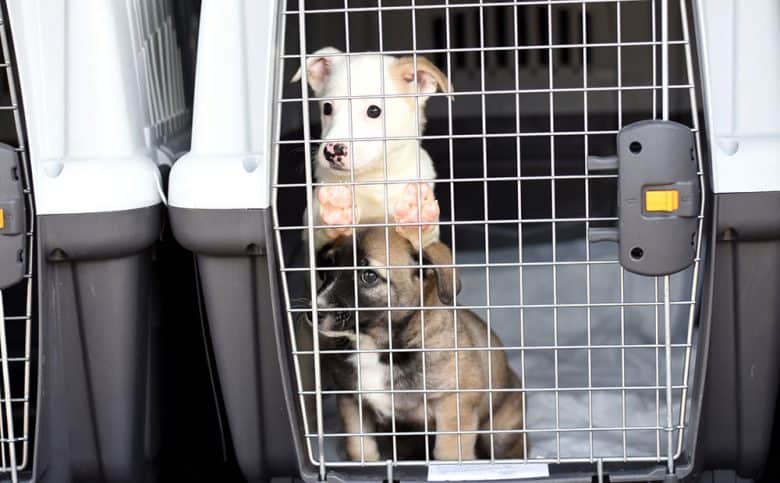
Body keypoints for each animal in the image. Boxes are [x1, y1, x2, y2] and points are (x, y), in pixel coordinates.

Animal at [290, 47, 450, 251]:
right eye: (327, 108)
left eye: (373, 111)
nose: (333, 151)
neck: (373, 180)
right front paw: (336, 212)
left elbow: (424, 238)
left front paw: (415, 217)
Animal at [312, 229, 524, 464]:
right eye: (327, 270)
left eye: (369, 276)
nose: (314, 312)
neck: (376, 348)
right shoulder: (351, 402)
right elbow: (360, 447)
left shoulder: (453, 406)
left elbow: (448, 454)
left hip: (500, 433)